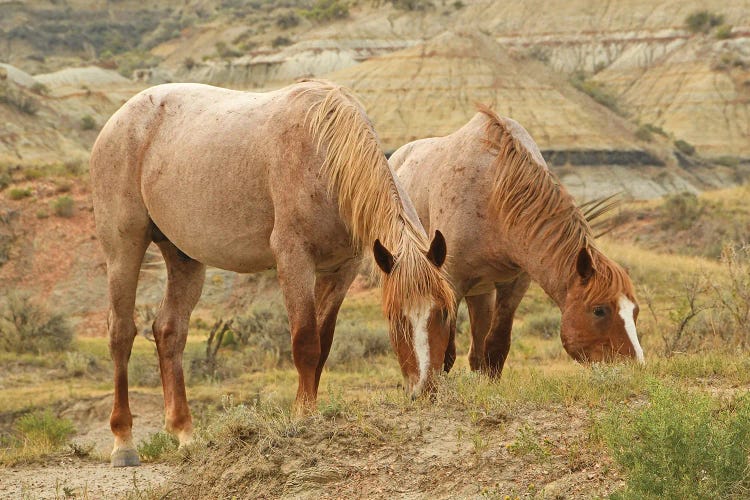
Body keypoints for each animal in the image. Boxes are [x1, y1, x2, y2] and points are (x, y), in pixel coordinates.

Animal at [88, 80, 452, 466]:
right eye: (396, 318)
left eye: (444, 313)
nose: (426, 389)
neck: (325, 153)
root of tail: (121, 118)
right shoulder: (294, 259)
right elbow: (305, 342)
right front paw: (303, 417)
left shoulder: (341, 271)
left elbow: (323, 345)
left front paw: (309, 410)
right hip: (123, 248)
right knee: (121, 333)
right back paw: (124, 442)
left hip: (183, 257)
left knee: (169, 331)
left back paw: (185, 433)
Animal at [390, 107, 644, 376]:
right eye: (599, 310)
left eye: (635, 310)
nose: (634, 366)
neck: (492, 193)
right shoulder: (451, 281)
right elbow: (445, 355)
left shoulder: (515, 284)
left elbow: (495, 348)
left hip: (482, 292)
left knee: (477, 352)